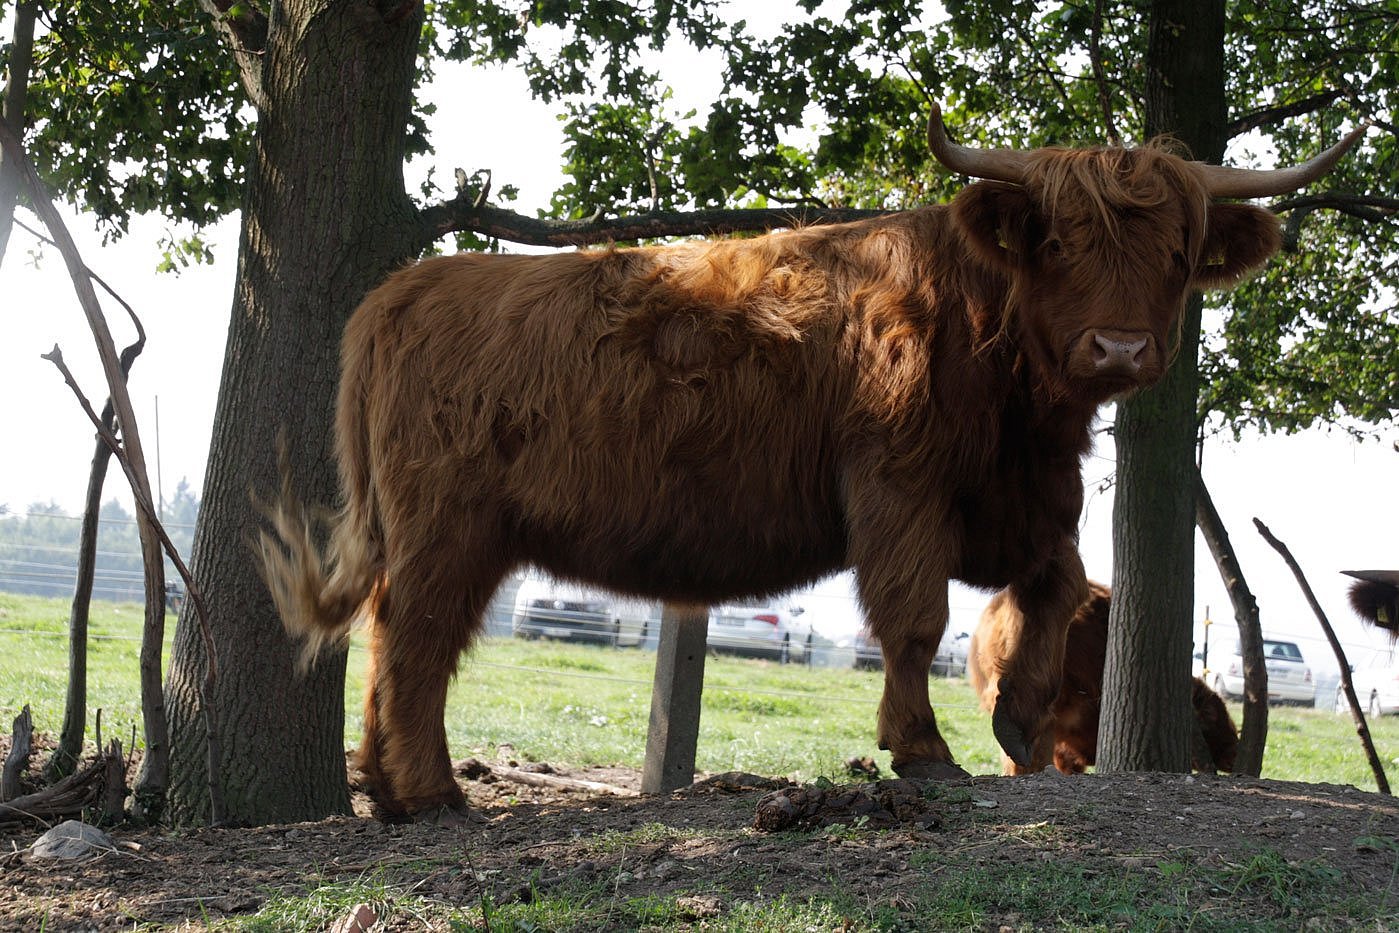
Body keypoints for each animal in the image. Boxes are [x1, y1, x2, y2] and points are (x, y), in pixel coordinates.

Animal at [257, 104, 1359, 816]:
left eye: (1175, 252)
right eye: (1058, 243)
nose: (1122, 350)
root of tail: (402, 289)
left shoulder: (1026, 503)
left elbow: (1052, 592)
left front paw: (1016, 718)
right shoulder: (900, 487)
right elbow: (914, 621)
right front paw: (925, 752)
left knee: (398, 635)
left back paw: (391, 791)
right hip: (451, 527)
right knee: (418, 639)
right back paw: (434, 794)